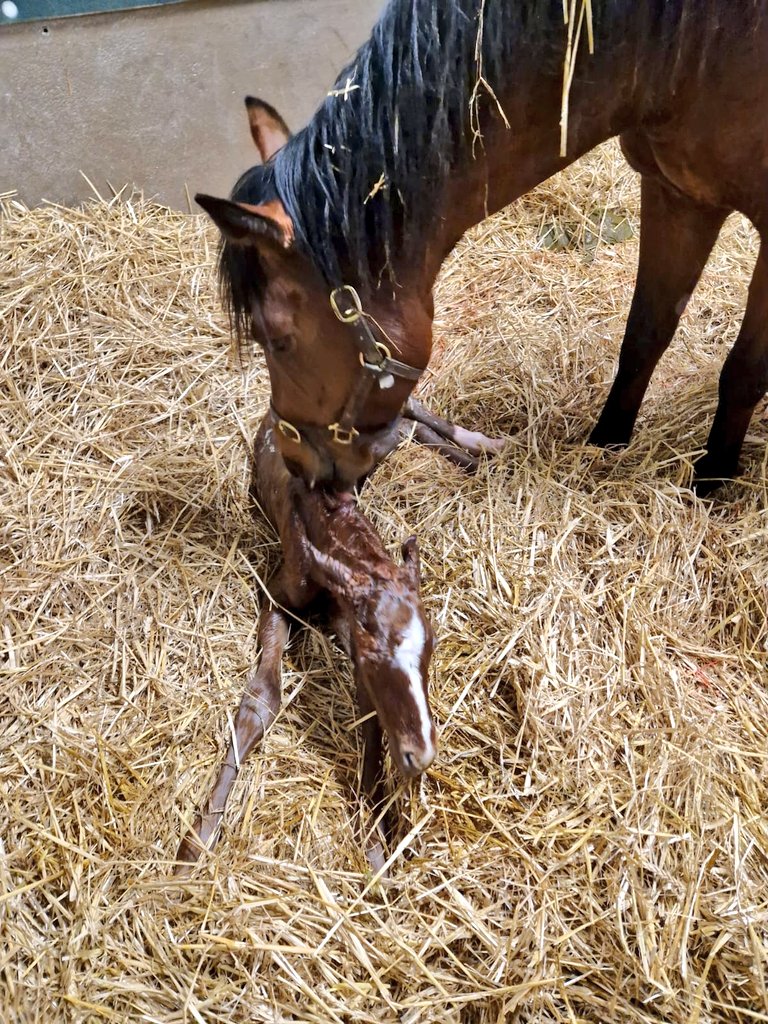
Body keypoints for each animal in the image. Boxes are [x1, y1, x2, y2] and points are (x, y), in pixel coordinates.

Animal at [196, 0, 768, 496]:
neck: (679, 58)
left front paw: (712, 480)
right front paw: (606, 444)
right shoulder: (678, 194)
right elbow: (645, 334)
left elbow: (743, 371)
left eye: (278, 340)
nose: (295, 465)